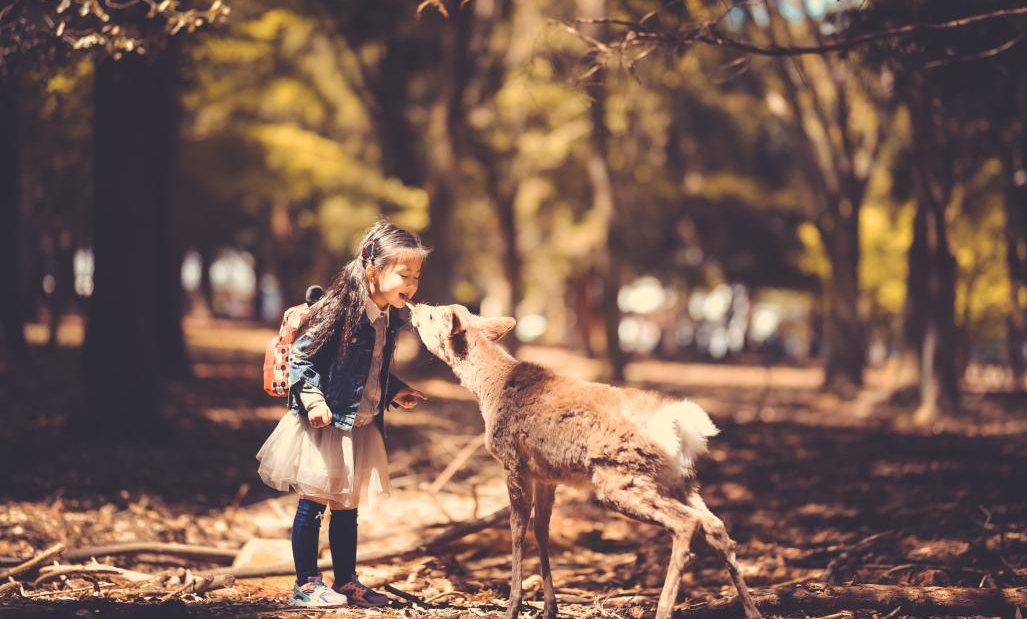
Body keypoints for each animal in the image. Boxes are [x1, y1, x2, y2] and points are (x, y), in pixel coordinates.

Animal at [406, 303, 764, 619]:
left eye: (434, 315)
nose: (414, 306)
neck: (489, 391)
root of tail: (680, 428)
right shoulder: (546, 475)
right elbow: (541, 529)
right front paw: (550, 608)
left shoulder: (513, 461)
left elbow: (517, 529)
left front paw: (513, 606)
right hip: (680, 480)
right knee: (715, 525)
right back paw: (752, 609)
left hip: (620, 478)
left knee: (687, 523)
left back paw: (663, 609)